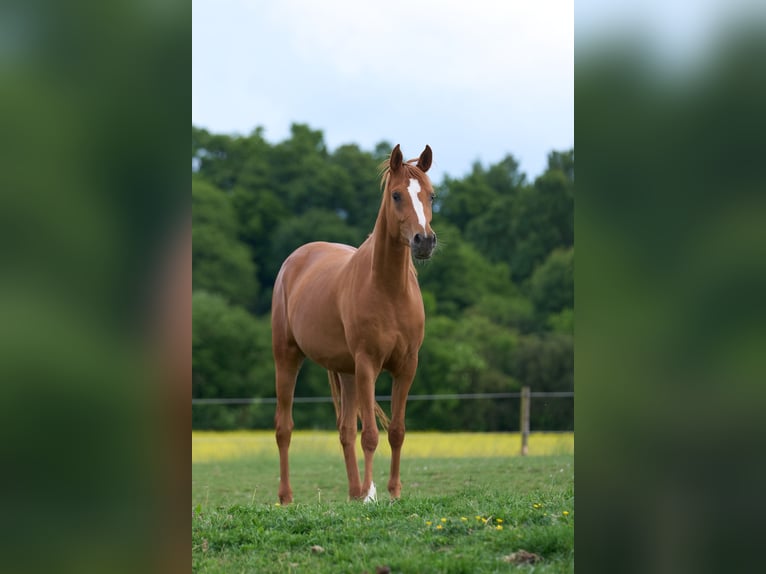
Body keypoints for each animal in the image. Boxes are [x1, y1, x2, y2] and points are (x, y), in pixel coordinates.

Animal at [271, 144, 437, 504]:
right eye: (396, 195)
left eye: (431, 195)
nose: (424, 241)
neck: (388, 290)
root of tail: (295, 259)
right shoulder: (367, 365)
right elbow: (371, 436)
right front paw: (369, 495)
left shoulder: (407, 366)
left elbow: (396, 431)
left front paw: (392, 493)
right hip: (288, 358)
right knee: (284, 428)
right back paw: (287, 498)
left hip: (345, 372)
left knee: (345, 430)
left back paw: (352, 492)